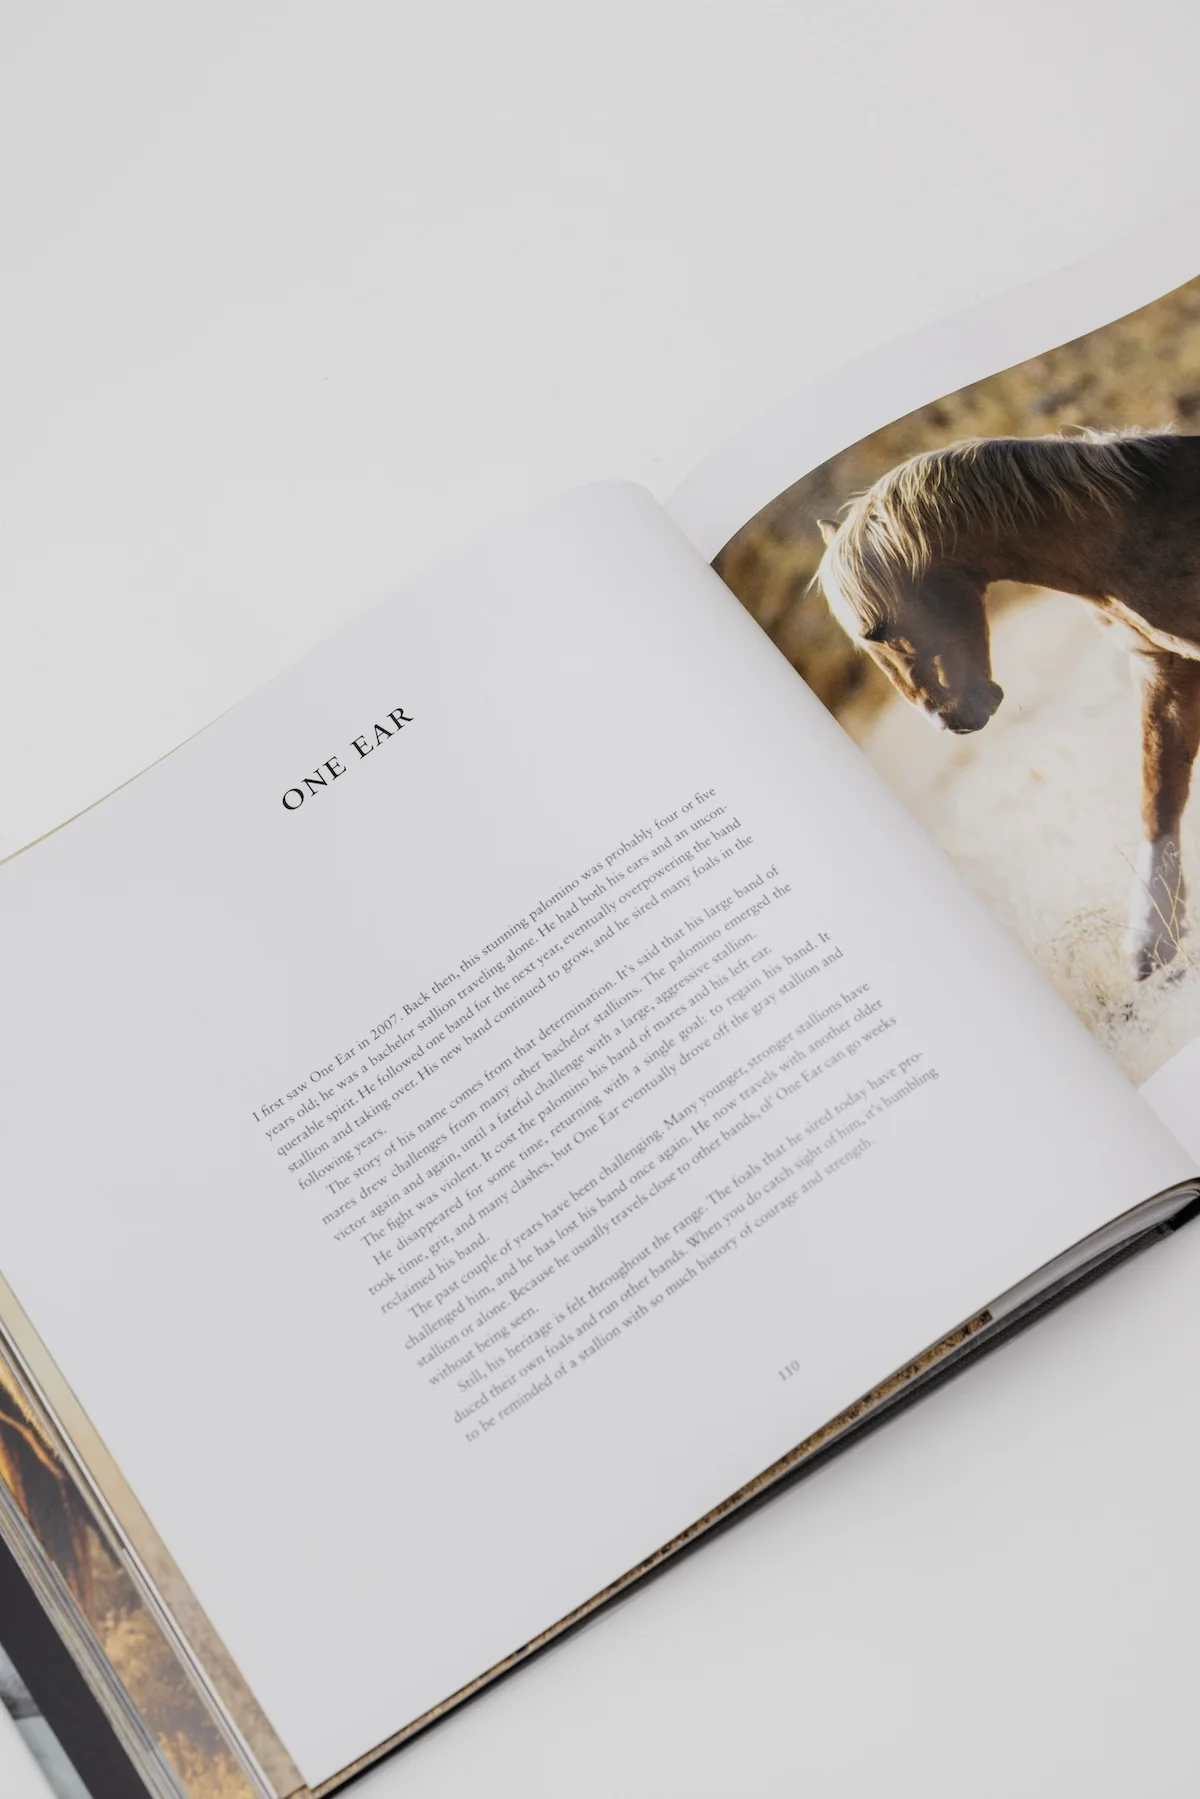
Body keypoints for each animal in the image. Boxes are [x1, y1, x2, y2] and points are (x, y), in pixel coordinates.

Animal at [814, 428, 1200, 981]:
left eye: (877, 630)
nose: (947, 718)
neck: (1126, 532)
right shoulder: (1164, 674)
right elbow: (1158, 798)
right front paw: (1150, 941)